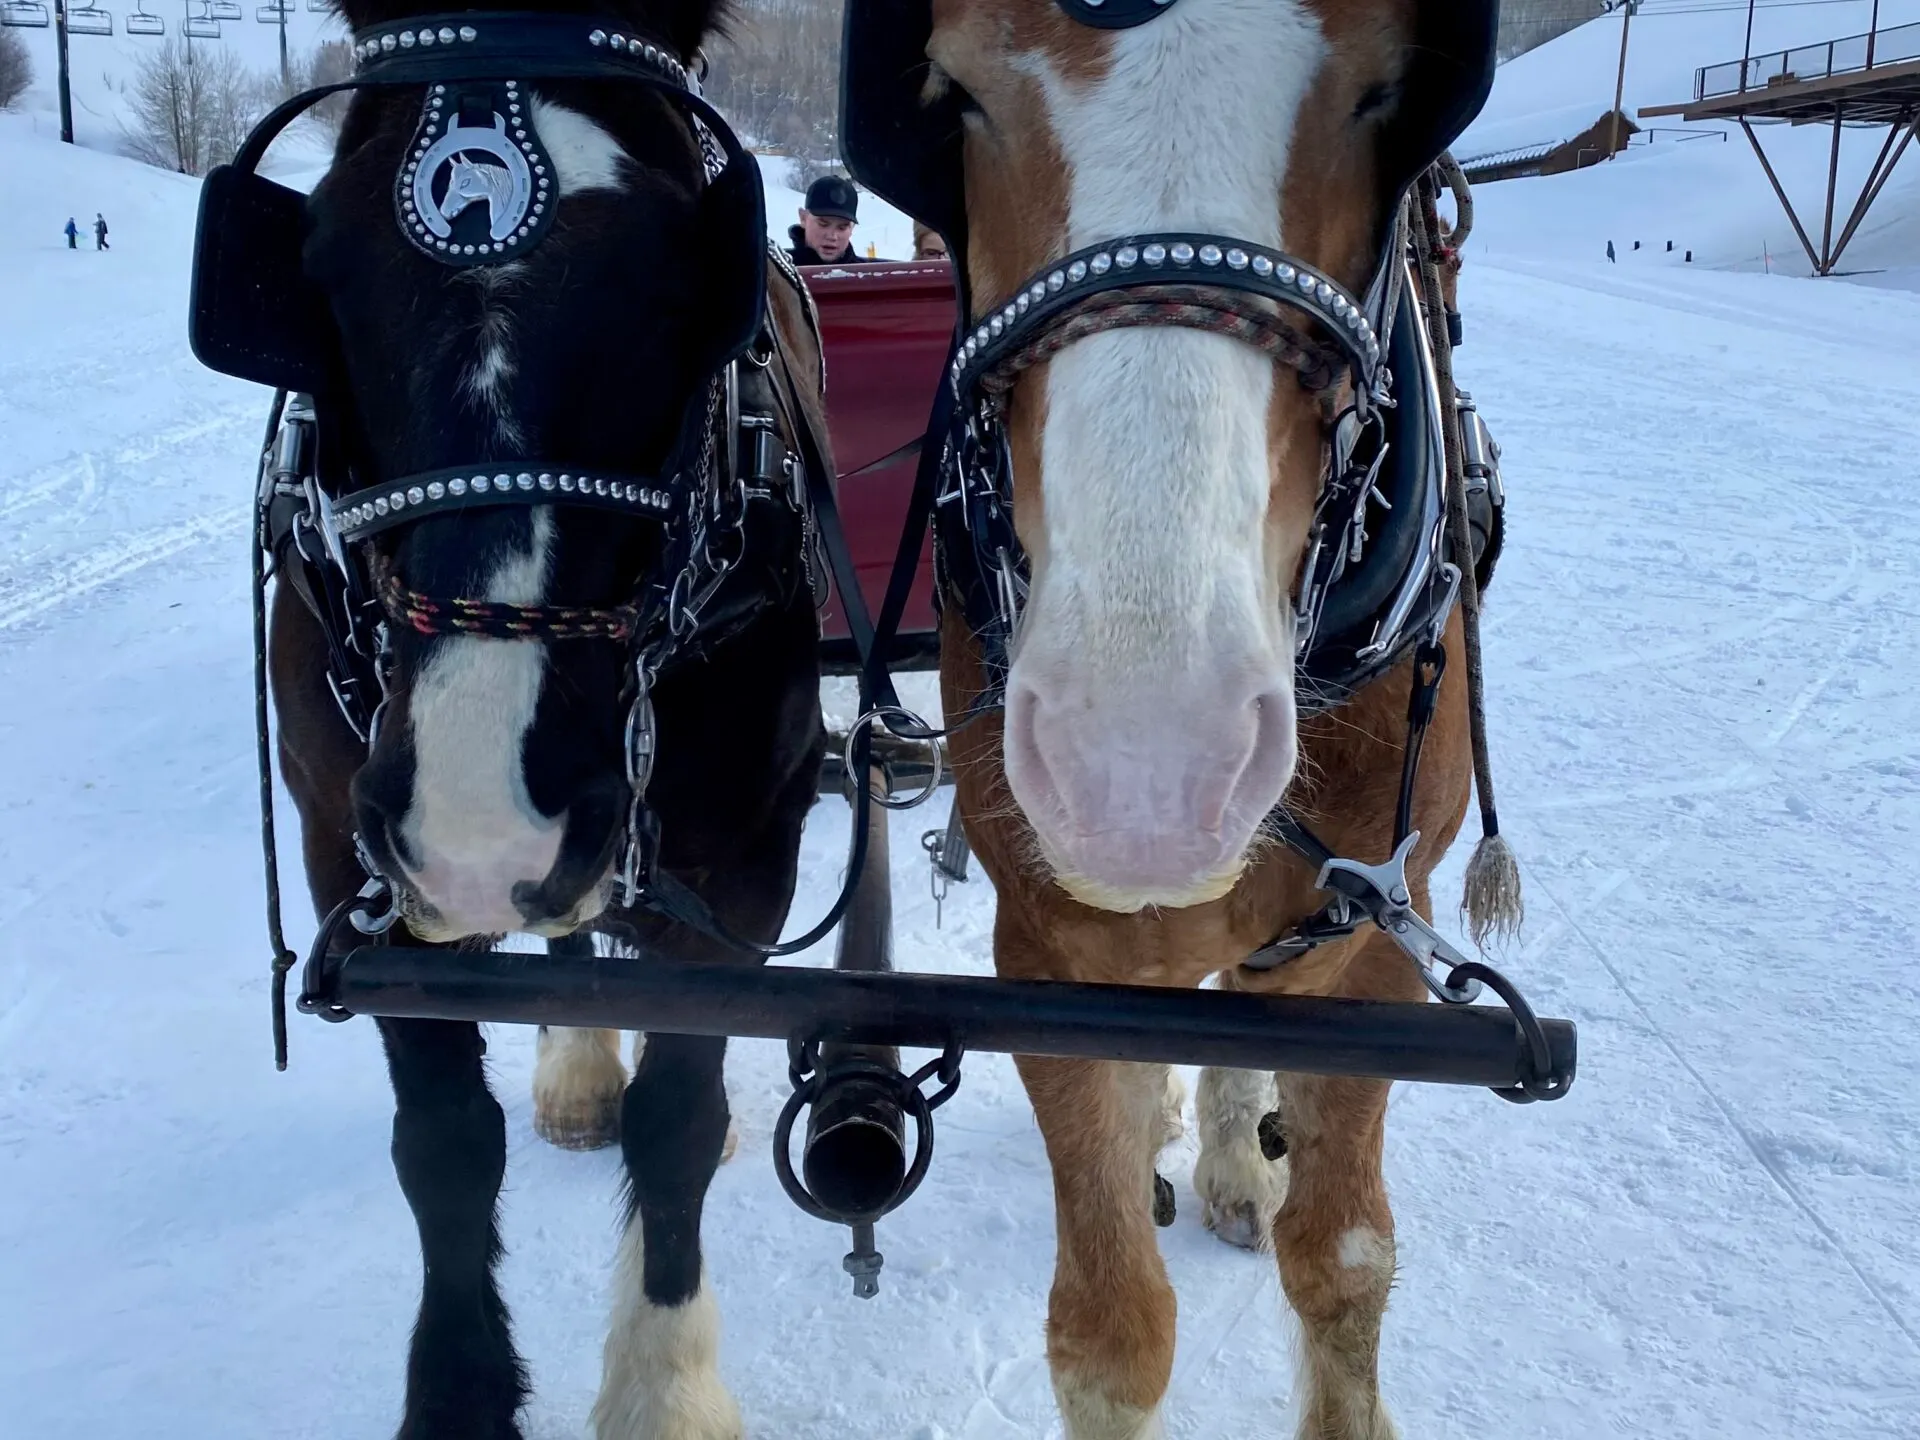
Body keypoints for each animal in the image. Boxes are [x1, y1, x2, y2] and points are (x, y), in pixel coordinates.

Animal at [250, 4, 829, 1434]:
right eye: (322, 268)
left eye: (676, 280)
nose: (481, 826)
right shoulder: (351, 851)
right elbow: (446, 1143)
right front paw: (456, 1393)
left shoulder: (750, 858)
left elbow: (679, 1121)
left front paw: (664, 1387)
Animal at [844, 1, 1515, 1435]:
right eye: (957, 96)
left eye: (1383, 92)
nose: (1142, 766)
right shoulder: (1050, 948)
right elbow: (1109, 1329)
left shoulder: (1378, 935)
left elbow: (1343, 1261)